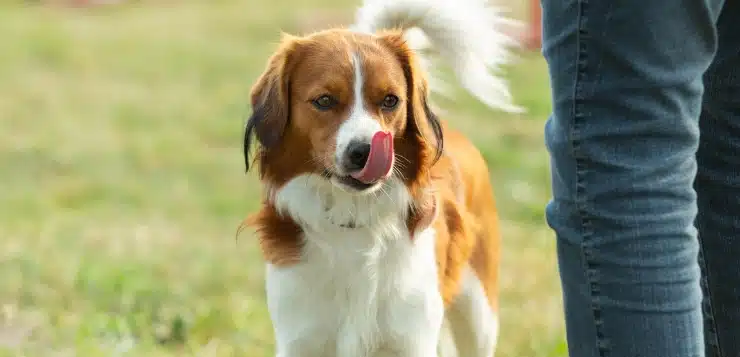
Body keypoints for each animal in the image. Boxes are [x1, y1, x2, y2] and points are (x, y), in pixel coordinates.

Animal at [243, 0, 520, 354]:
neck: (353, 219)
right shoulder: (300, 338)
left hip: (478, 316)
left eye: (390, 100)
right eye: (324, 100)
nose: (364, 152)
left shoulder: (412, 337)